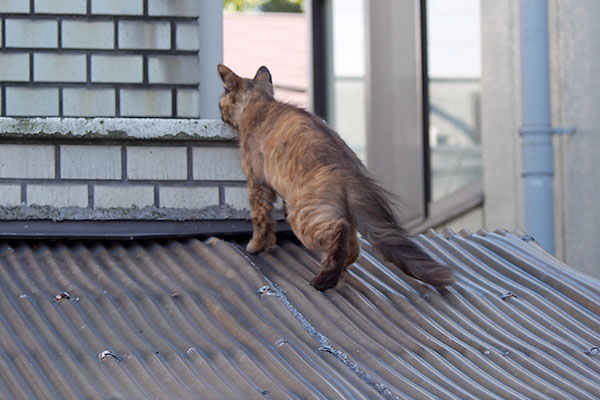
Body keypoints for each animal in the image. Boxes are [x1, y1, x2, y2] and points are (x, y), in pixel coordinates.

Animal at [218, 65, 452, 290]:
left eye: (221, 103)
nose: (220, 113)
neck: (260, 103)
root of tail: (349, 170)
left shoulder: (257, 183)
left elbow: (260, 219)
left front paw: (256, 246)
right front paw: (270, 243)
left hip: (301, 215)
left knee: (339, 232)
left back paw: (324, 280)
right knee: (353, 246)